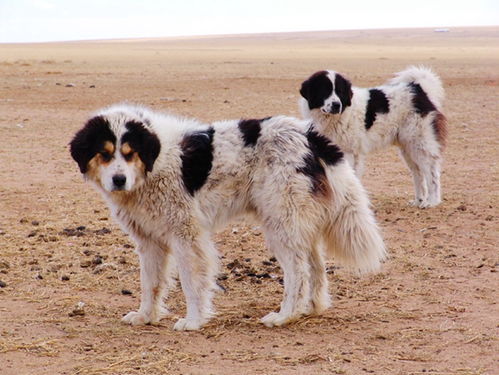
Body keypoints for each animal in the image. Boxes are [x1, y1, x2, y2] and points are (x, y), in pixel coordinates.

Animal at [69, 104, 386, 330]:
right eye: (104, 154)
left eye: (129, 153)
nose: (118, 180)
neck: (153, 163)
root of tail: (310, 136)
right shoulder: (149, 241)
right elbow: (151, 283)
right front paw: (146, 315)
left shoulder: (186, 235)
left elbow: (191, 282)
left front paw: (193, 321)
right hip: (294, 221)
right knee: (315, 267)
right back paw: (311, 308)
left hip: (280, 223)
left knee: (298, 272)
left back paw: (285, 315)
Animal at [298, 67, 448, 209]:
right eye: (325, 91)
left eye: (340, 92)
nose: (336, 105)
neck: (334, 118)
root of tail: (417, 89)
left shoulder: (350, 153)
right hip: (408, 148)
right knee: (418, 174)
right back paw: (419, 201)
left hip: (420, 145)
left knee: (432, 174)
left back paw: (432, 202)